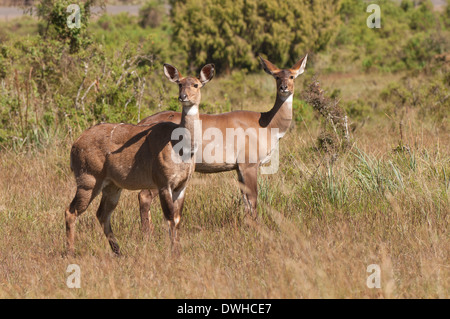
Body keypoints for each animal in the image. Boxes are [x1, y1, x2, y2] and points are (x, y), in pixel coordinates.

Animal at [63, 63, 216, 256]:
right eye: (180, 84)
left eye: (196, 84)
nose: (183, 97)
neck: (181, 148)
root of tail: (75, 145)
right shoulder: (163, 183)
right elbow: (169, 217)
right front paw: (174, 252)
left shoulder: (181, 185)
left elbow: (177, 218)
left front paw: (178, 250)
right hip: (88, 180)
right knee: (71, 211)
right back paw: (70, 251)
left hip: (112, 186)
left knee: (102, 214)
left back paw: (118, 251)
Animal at [138, 55, 306, 236]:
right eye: (276, 77)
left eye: (292, 76)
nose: (284, 87)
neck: (267, 125)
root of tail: (141, 123)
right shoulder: (249, 162)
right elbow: (253, 197)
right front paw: (258, 230)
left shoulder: (238, 167)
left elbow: (245, 199)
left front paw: (248, 226)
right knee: (144, 195)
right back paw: (148, 234)